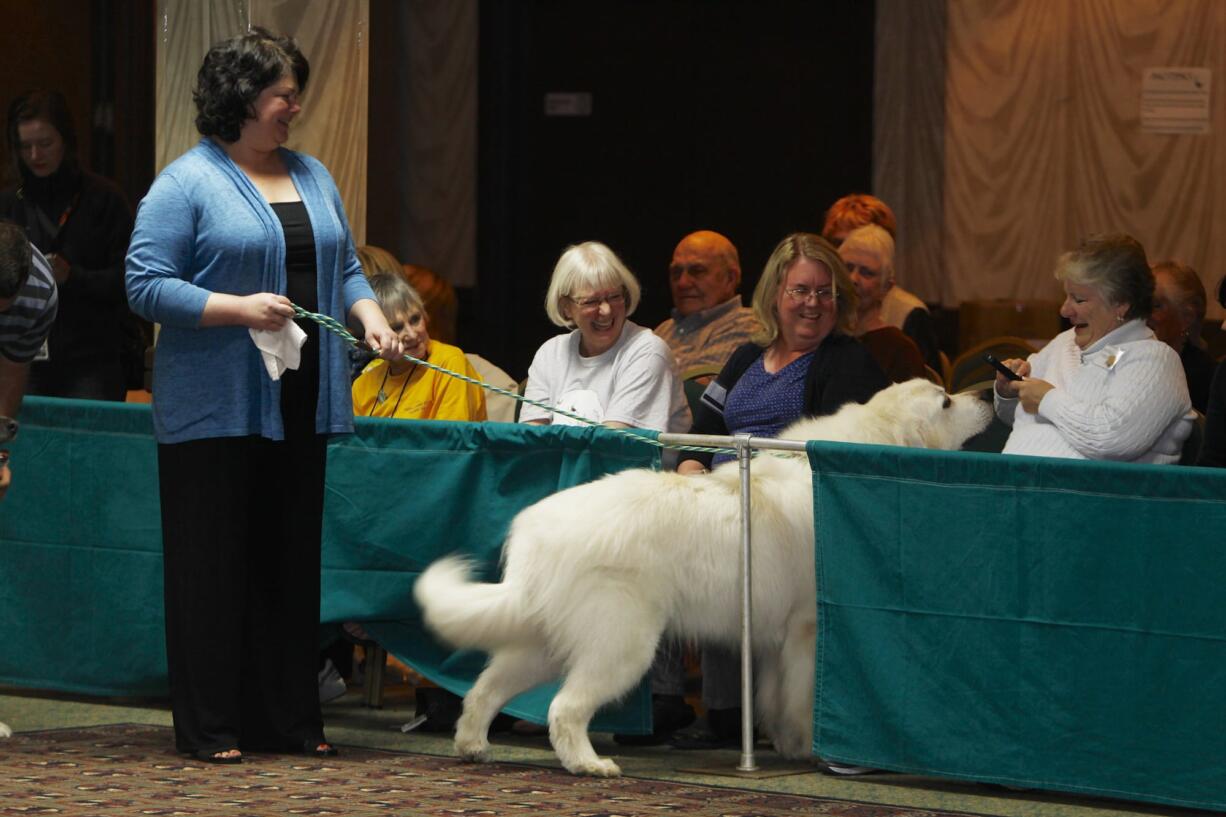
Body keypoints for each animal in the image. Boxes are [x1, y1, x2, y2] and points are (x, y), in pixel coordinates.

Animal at [416, 375, 990, 770]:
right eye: (944, 401)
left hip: (543, 644)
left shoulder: (772, 642)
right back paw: (589, 765)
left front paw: (784, 744)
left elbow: (773, 697)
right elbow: (801, 698)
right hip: (622, 644)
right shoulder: (806, 630)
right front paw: (806, 748)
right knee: (564, 708)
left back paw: (473, 746)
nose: (988, 394)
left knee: (484, 691)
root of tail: (538, 530)